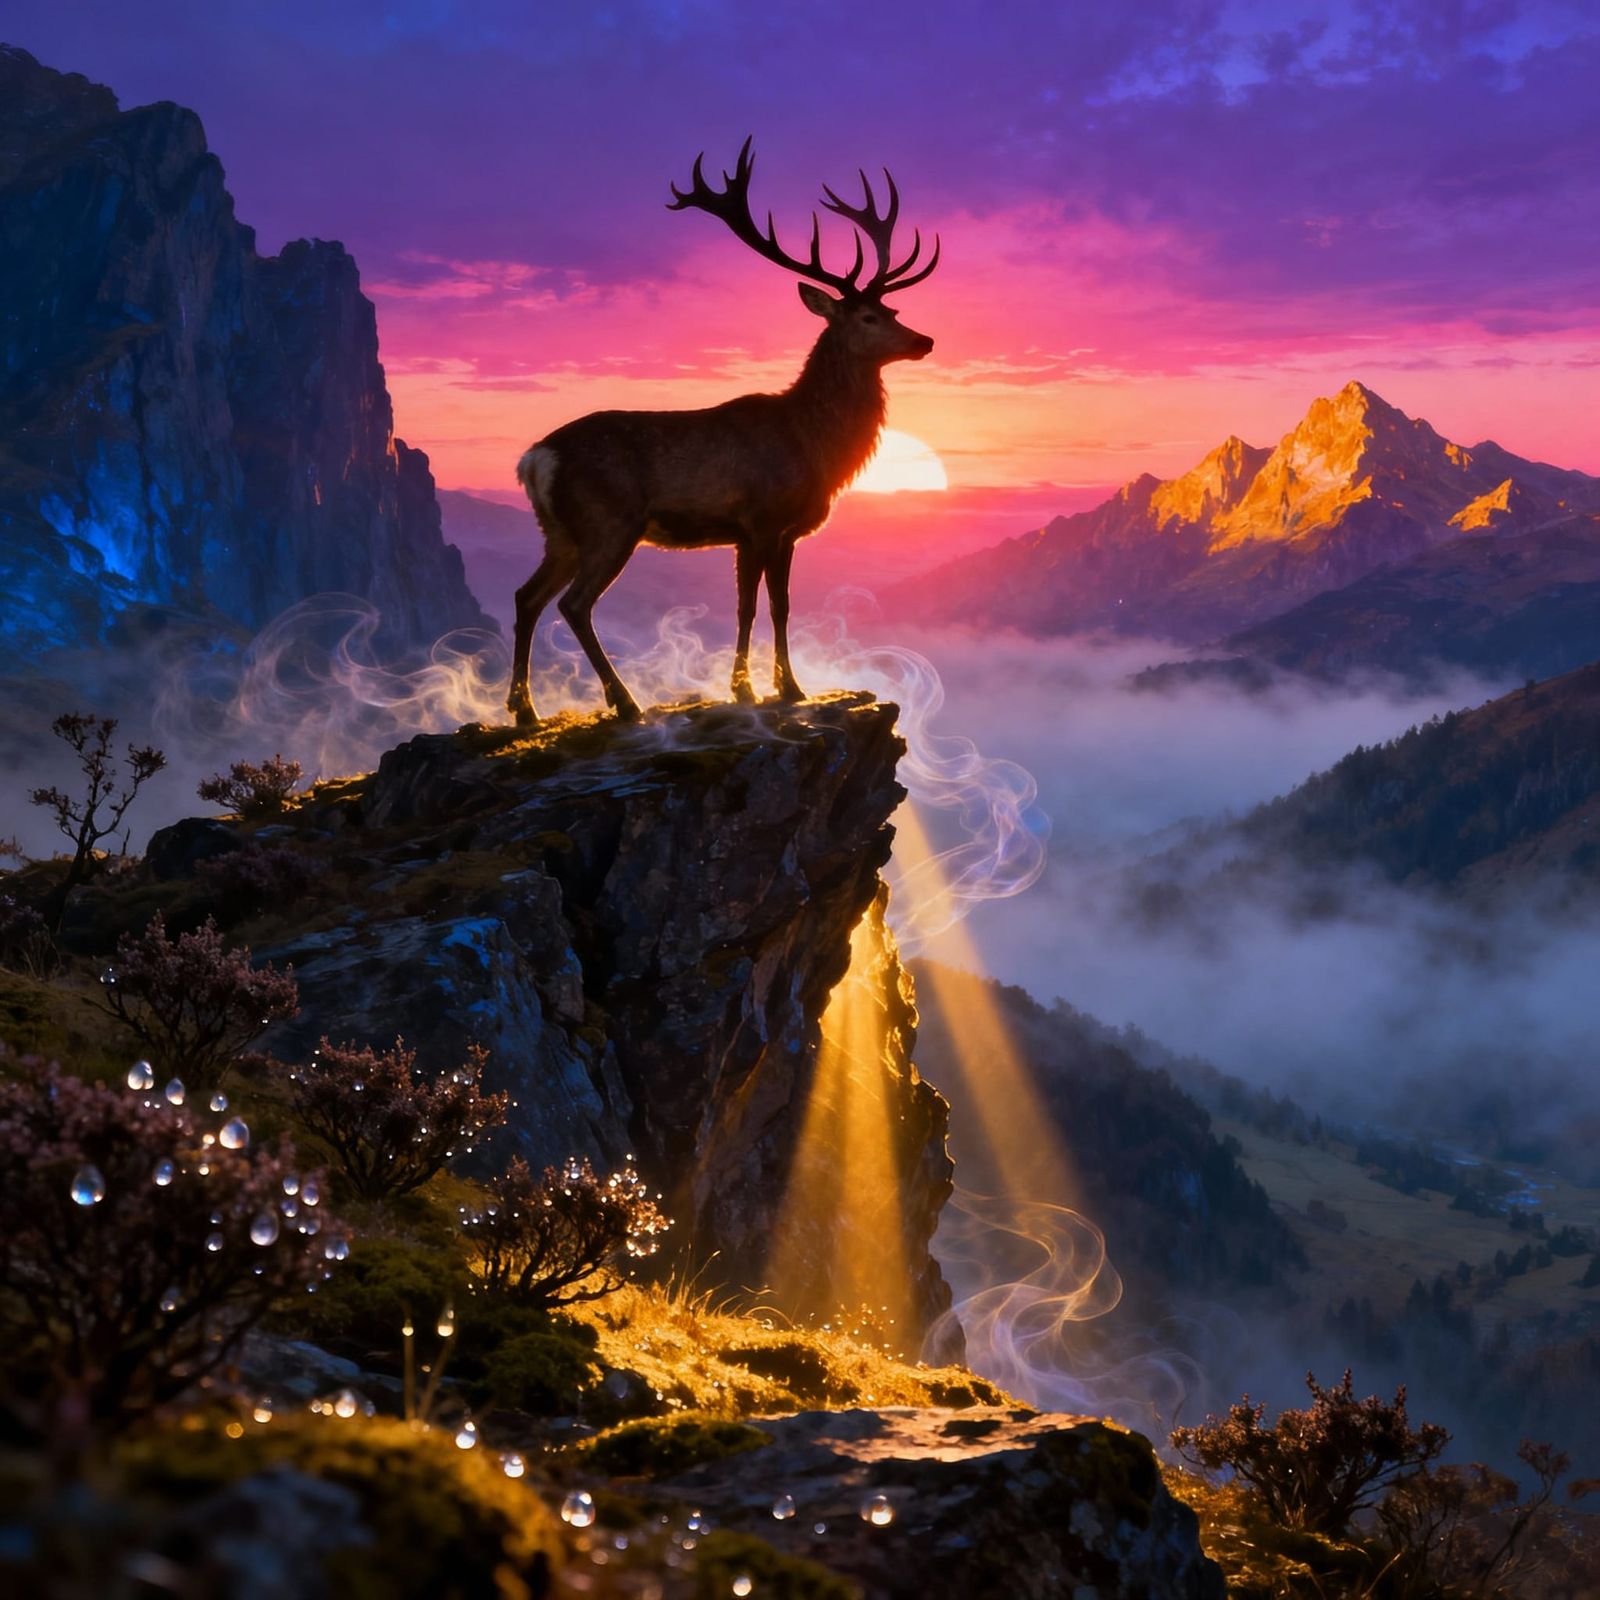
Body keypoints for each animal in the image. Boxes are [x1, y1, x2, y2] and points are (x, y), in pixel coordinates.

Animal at [506, 138, 939, 726]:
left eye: (892, 308)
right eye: (867, 317)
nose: (924, 340)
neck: (813, 445)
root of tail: (535, 459)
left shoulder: (784, 531)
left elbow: (781, 606)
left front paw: (788, 686)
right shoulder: (758, 520)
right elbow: (750, 607)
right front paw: (753, 690)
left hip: (559, 531)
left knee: (525, 596)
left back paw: (524, 710)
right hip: (609, 521)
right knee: (574, 604)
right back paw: (624, 702)